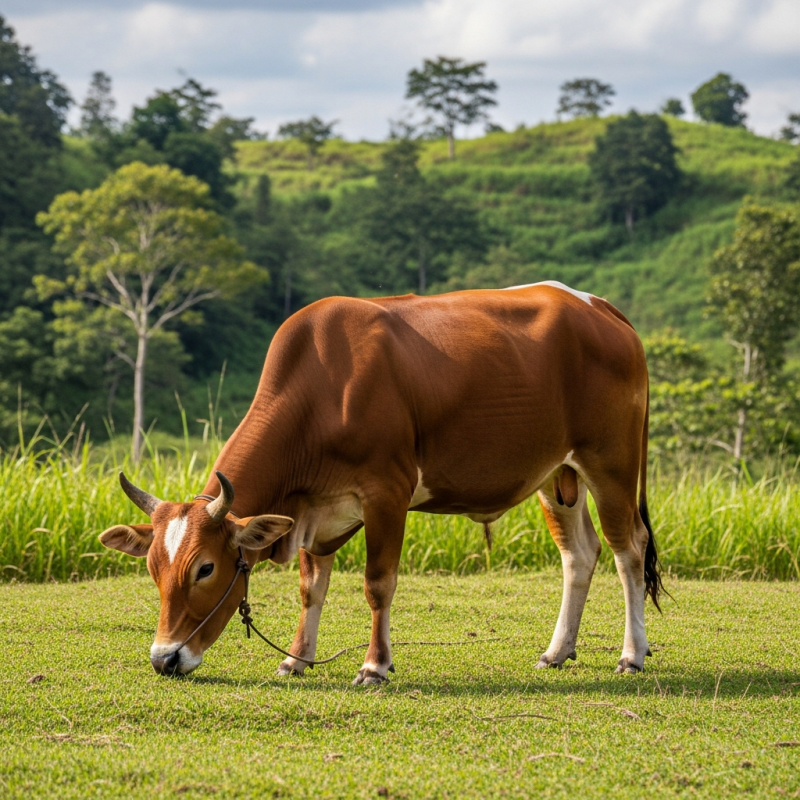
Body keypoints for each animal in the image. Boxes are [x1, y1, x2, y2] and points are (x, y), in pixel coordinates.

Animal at [99, 282, 663, 684]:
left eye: (206, 569)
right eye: (153, 568)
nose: (165, 659)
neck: (323, 388)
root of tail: (598, 306)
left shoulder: (387, 495)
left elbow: (378, 584)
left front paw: (374, 665)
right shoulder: (317, 512)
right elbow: (311, 587)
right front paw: (297, 658)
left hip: (611, 463)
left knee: (628, 549)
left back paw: (632, 654)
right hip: (557, 476)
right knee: (579, 554)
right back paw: (557, 650)